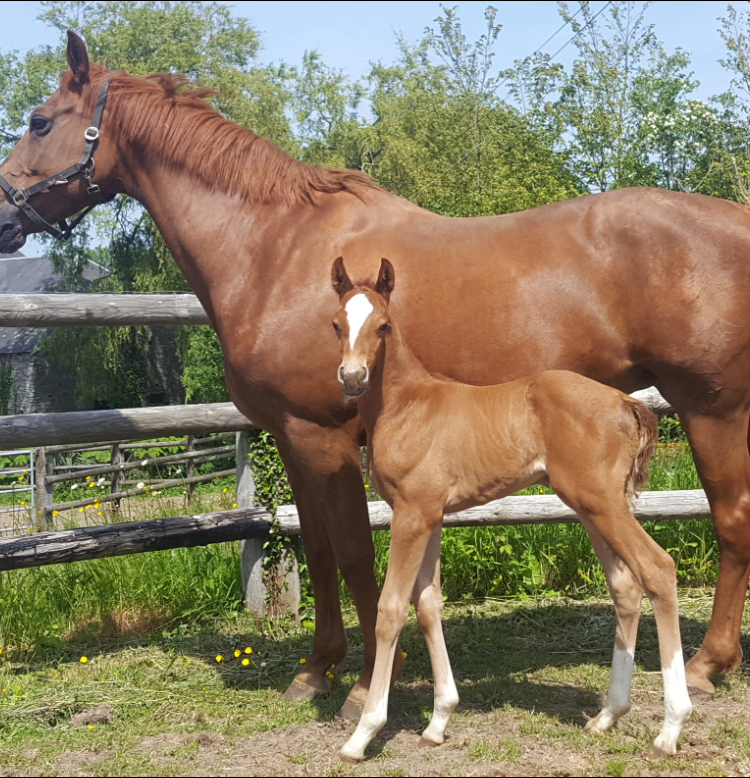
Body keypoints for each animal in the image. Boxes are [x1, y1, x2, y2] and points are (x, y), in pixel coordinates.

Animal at [334, 258, 692, 760]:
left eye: (382, 325)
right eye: (336, 324)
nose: (352, 379)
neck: (405, 407)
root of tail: (625, 402)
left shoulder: (410, 515)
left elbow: (391, 610)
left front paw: (363, 733)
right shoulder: (431, 515)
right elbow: (428, 605)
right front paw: (438, 721)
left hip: (602, 504)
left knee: (657, 568)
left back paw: (670, 728)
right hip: (593, 505)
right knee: (625, 585)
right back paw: (607, 716)